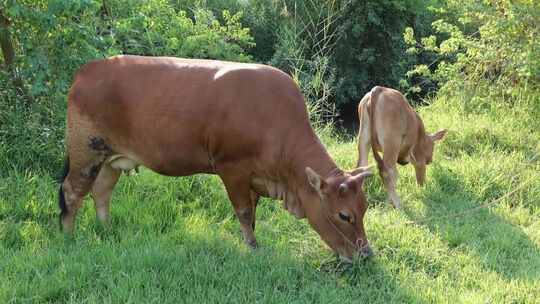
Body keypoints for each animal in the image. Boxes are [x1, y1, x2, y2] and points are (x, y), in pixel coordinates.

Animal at [58, 55, 372, 262]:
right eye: (344, 215)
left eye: (365, 207)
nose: (366, 254)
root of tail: (86, 71)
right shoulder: (232, 169)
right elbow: (244, 212)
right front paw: (253, 248)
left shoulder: (254, 178)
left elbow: (252, 213)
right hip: (86, 150)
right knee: (72, 191)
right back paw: (69, 238)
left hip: (110, 157)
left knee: (101, 192)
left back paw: (107, 230)